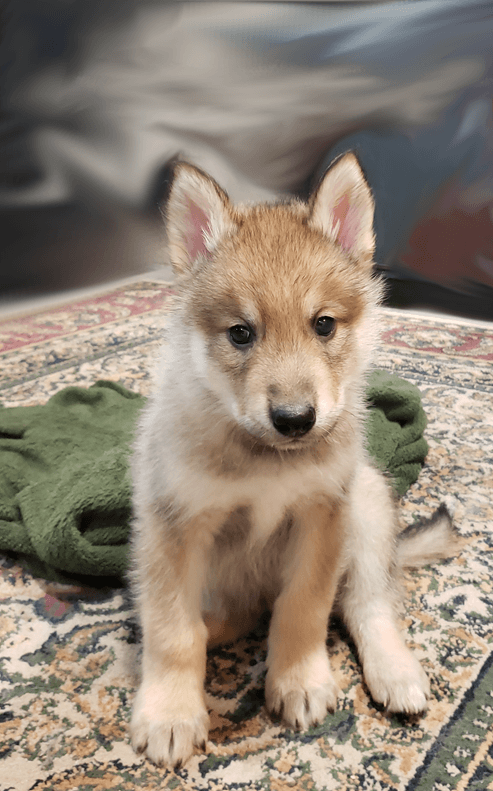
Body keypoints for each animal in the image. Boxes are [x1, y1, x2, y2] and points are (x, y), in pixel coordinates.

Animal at [131, 153, 454, 768]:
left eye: (323, 324)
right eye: (240, 333)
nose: (295, 419)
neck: (267, 464)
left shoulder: (322, 517)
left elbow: (304, 608)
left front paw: (299, 680)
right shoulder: (173, 527)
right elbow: (172, 631)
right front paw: (170, 712)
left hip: (368, 508)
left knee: (367, 603)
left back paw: (395, 672)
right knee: (225, 619)